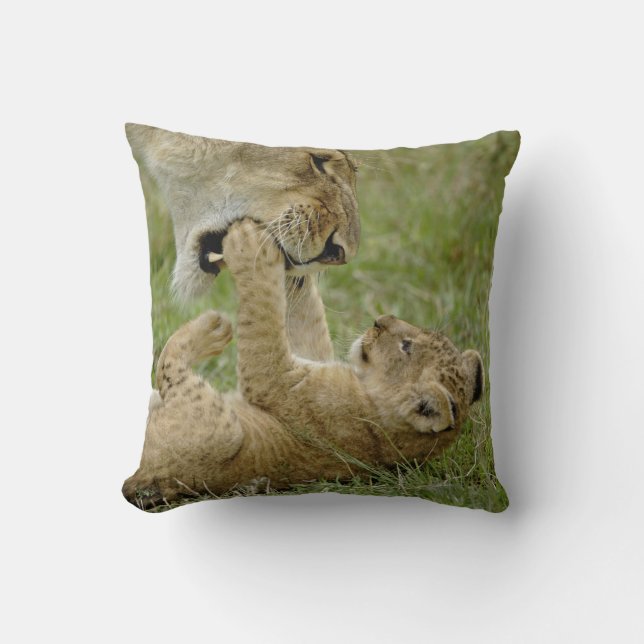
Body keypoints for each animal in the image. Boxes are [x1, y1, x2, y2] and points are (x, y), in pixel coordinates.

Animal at [122, 220, 484, 511]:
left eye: (406, 345)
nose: (381, 320)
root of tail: (144, 482)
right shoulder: (313, 358)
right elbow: (305, 319)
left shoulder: (280, 383)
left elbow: (263, 319)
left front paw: (251, 244)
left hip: (222, 431)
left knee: (171, 366)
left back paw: (212, 328)